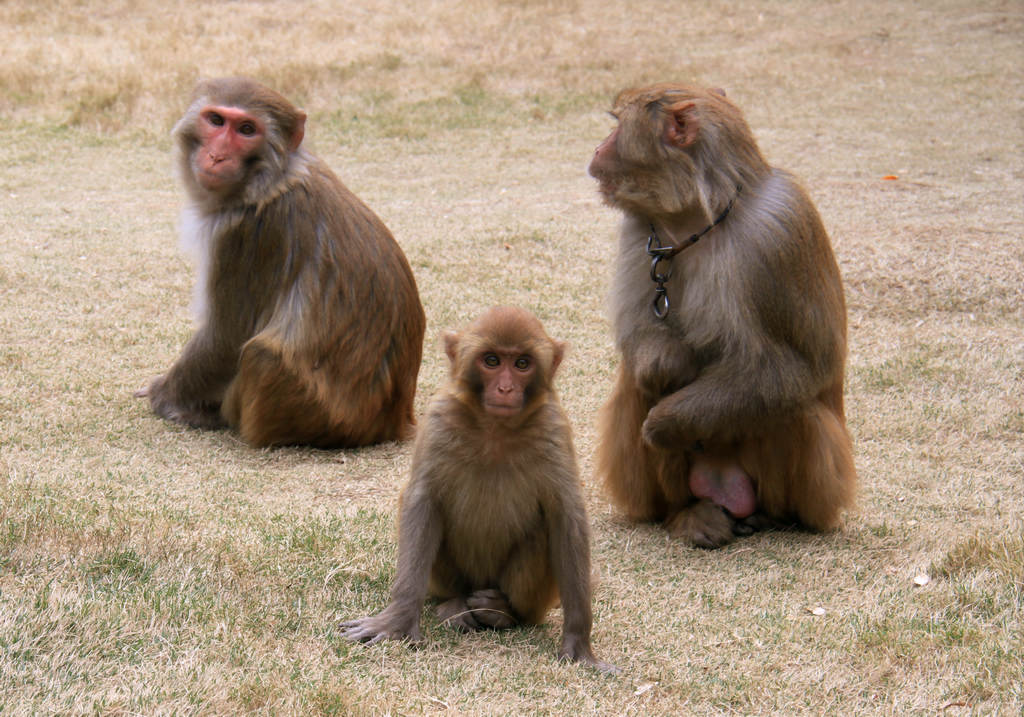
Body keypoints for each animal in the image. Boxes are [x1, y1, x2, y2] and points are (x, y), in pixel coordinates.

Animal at [136, 79, 423, 448]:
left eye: (246, 130)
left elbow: (226, 338)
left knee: (259, 354)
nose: (217, 155)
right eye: (216, 120)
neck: (268, 182)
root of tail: (393, 421)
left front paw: (163, 396)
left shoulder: (249, 235)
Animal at [344, 307, 614, 671]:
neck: (495, 428)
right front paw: (398, 619)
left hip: (536, 595)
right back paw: (456, 604)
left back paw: (503, 612)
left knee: (543, 535)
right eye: (491, 360)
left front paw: (578, 641)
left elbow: (567, 517)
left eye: (522, 364)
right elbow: (421, 502)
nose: (505, 388)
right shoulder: (439, 418)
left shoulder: (554, 428)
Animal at [589, 82, 851, 549]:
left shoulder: (779, 232)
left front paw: (664, 424)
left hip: (816, 492)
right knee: (640, 380)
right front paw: (669, 364)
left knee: (792, 404)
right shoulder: (640, 233)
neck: (697, 215)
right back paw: (688, 514)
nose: (598, 148)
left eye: (618, 125)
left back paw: (771, 517)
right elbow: (641, 338)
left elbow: (799, 368)